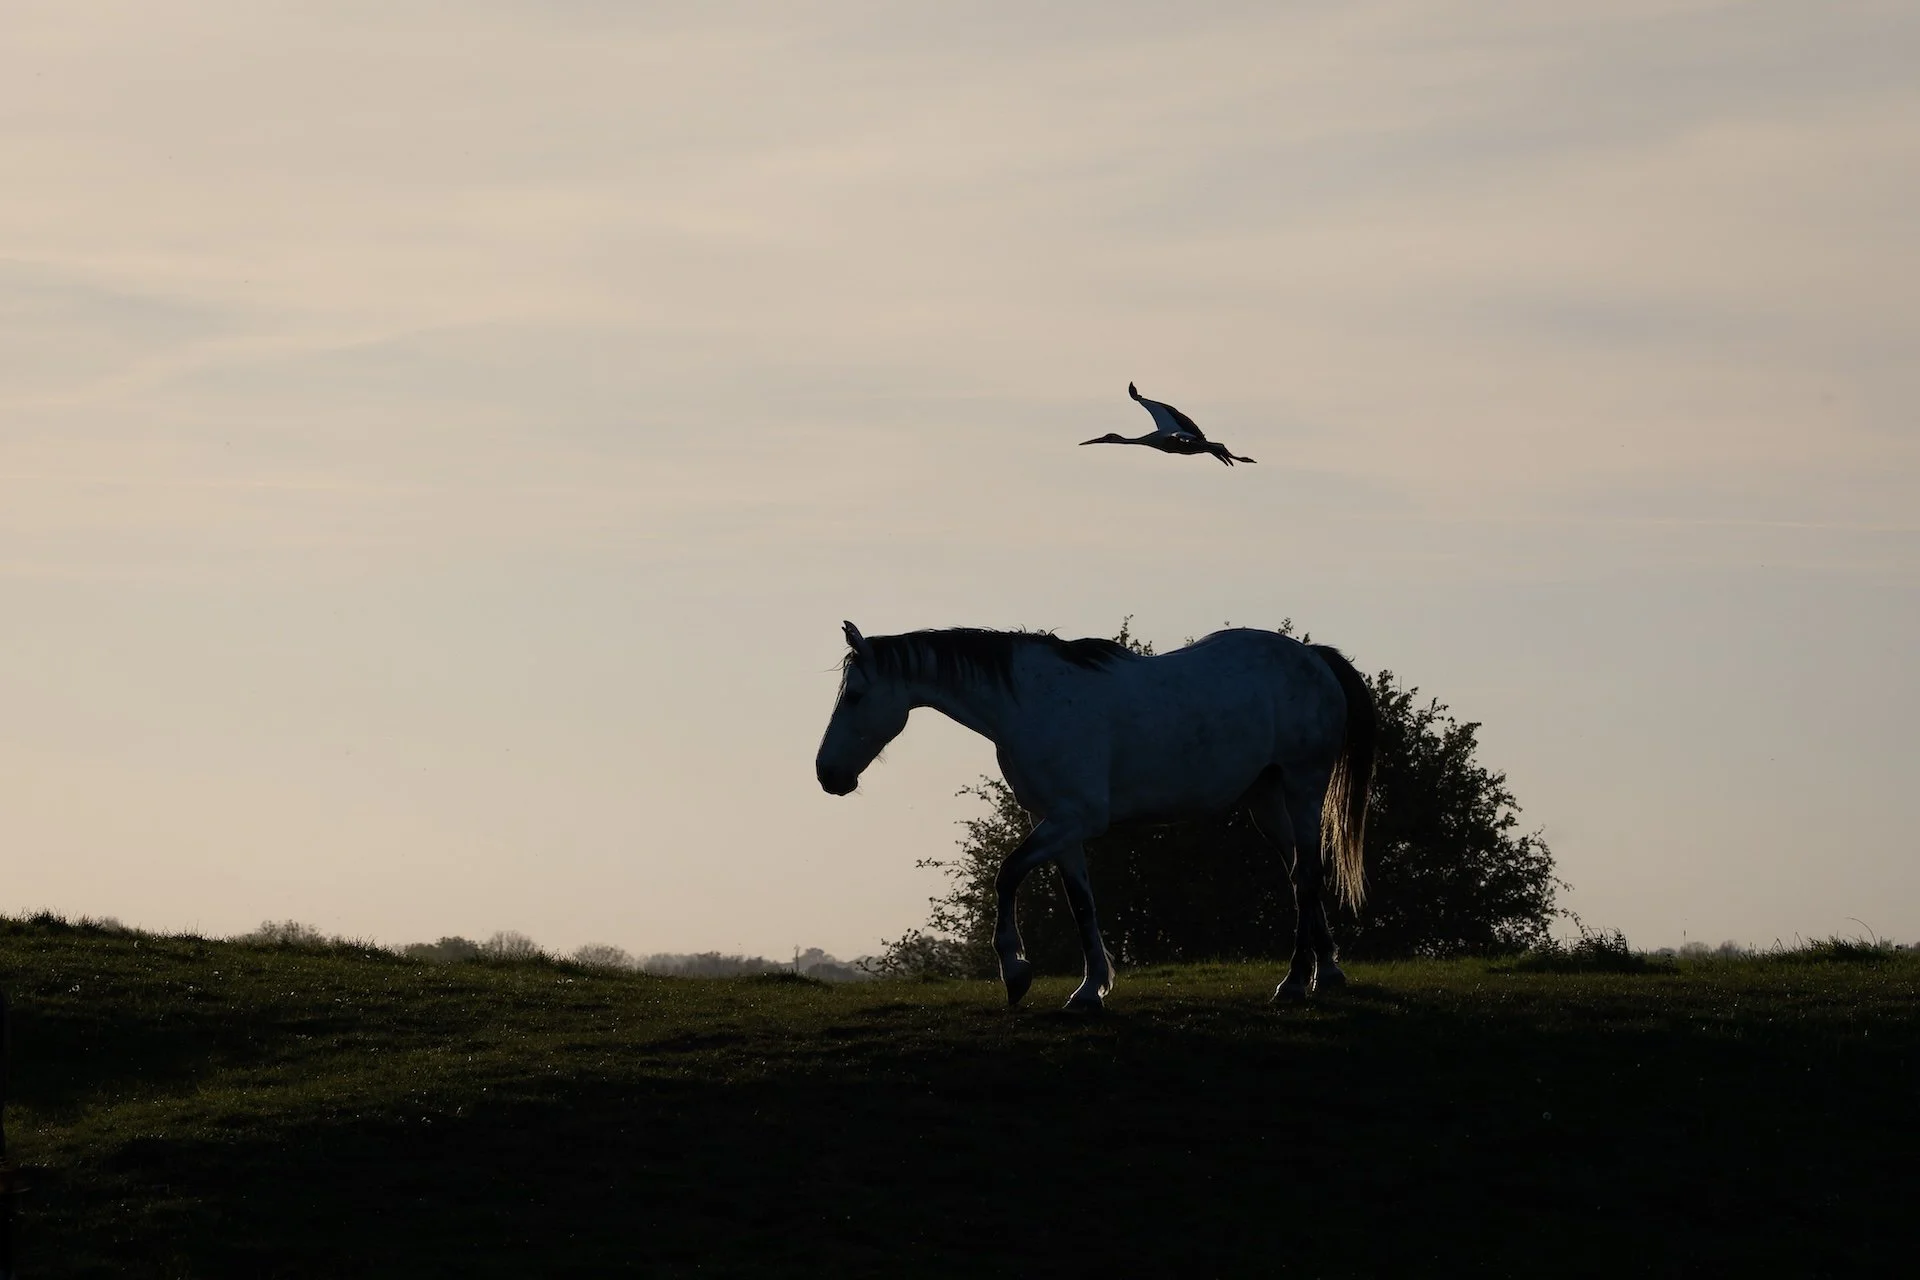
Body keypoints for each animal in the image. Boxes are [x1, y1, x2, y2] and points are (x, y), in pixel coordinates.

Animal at [814, 622, 1376, 1009]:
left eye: (855, 695)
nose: (827, 773)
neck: (1028, 703)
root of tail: (1314, 658)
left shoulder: (1075, 819)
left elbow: (1007, 875)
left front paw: (1016, 972)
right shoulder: (1058, 825)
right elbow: (1080, 902)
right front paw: (1089, 990)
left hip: (1303, 787)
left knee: (1308, 875)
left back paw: (1294, 983)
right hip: (1267, 800)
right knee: (1301, 874)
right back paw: (1325, 975)